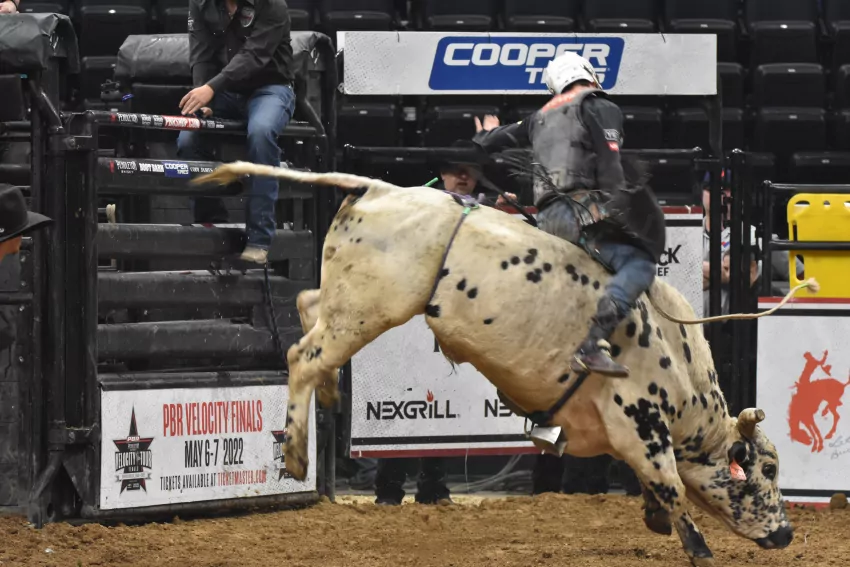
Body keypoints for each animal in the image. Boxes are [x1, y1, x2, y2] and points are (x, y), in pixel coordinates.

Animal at [196, 162, 795, 567]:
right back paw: (298, 453)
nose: (787, 533)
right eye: (766, 470)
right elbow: (671, 488)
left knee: (306, 306)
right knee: (302, 355)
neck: (679, 364)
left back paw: (329, 396)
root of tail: (379, 187)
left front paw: (653, 518)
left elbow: (657, 489)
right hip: (369, 309)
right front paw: (696, 546)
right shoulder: (640, 425)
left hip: (353, 301)